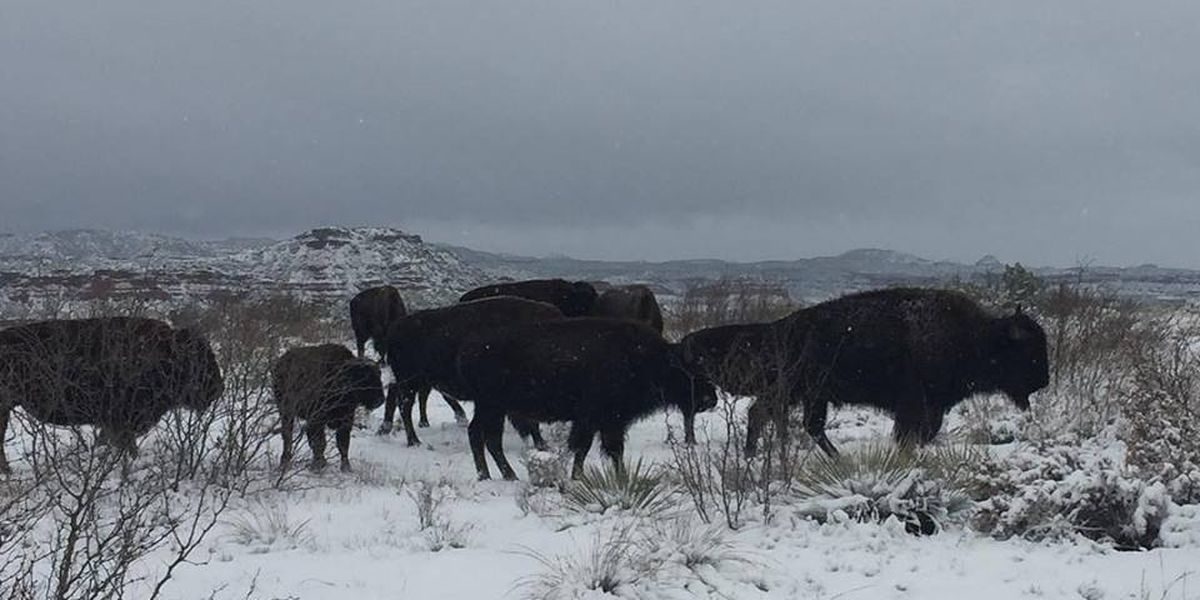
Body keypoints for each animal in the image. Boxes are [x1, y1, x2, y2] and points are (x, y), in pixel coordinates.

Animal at [272, 344, 385, 472]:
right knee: (288, 436)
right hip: (286, 412)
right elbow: (320, 442)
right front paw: (318, 465)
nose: (380, 400)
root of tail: (280, 363)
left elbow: (343, 443)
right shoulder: (317, 420)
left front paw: (346, 467)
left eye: (379, 374)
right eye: (365, 376)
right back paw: (284, 462)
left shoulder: (346, 419)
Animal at [382, 296, 564, 447]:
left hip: (412, 380)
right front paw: (542, 445)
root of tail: (395, 328)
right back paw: (414, 441)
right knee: (405, 406)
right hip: (409, 381)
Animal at [453, 318, 719, 480]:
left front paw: (583, 476)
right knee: (484, 436)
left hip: (491, 408)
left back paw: (498, 475)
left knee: (483, 436)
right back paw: (498, 476)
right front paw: (610, 477)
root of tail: (470, 351)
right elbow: (603, 448)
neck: (652, 360)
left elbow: (591, 448)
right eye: (692, 372)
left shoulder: (598, 422)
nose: (712, 399)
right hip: (492, 406)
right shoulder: (604, 419)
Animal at [752, 287, 1050, 457]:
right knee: (771, 415)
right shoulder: (916, 405)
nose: (1044, 382)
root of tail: (783, 327)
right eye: (1028, 352)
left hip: (806, 395)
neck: (978, 337)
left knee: (785, 419)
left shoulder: (932, 407)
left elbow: (925, 433)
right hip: (799, 391)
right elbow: (912, 433)